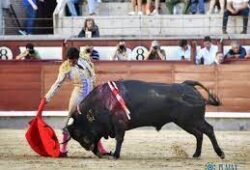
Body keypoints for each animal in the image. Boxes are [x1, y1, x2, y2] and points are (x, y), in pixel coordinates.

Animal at [66, 79, 225, 159]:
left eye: (78, 133)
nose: (86, 146)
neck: (103, 101)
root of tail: (187, 85)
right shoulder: (103, 128)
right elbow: (101, 140)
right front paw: (104, 154)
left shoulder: (119, 124)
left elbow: (119, 139)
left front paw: (115, 155)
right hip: (188, 123)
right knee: (199, 134)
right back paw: (196, 154)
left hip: (190, 121)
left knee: (208, 130)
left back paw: (220, 153)